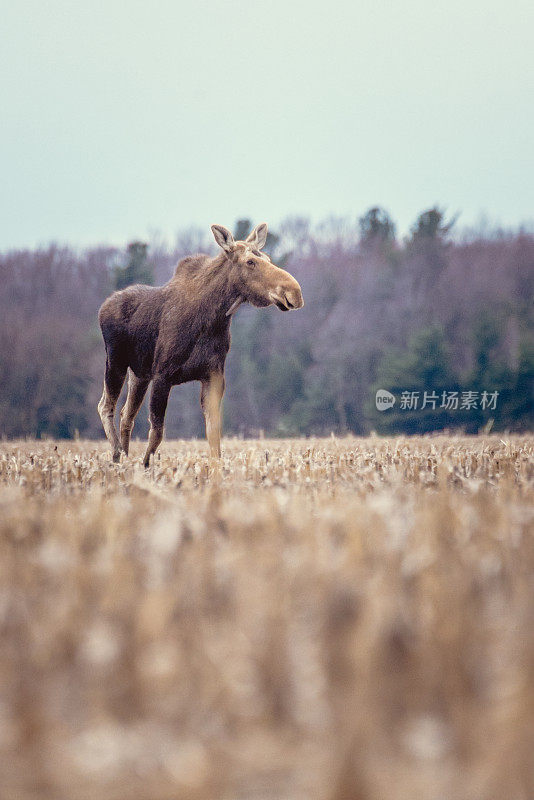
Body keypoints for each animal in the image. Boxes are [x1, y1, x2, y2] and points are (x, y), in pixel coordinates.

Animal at [98, 222, 304, 466]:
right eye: (250, 262)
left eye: (269, 258)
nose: (294, 292)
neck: (214, 318)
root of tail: (104, 306)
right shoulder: (162, 375)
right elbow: (157, 432)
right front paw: (146, 466)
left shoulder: (213, 376)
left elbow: (214, 436)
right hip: (116, 362)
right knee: (106, 406)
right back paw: (117, 455)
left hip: (139, 374)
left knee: (126, 414)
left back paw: (125, 456)